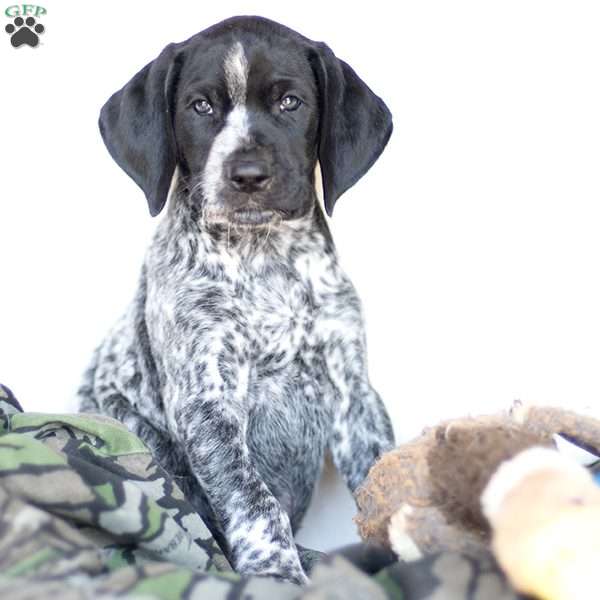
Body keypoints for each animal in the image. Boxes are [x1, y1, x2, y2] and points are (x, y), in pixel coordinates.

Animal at [79, 16, 396, 584]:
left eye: (291, 102)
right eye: (200, 107)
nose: (247, 176)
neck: (266, 258)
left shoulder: (352, 393)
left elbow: (381, 472)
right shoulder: (208, 399)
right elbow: (254, 498)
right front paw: (277, 571)